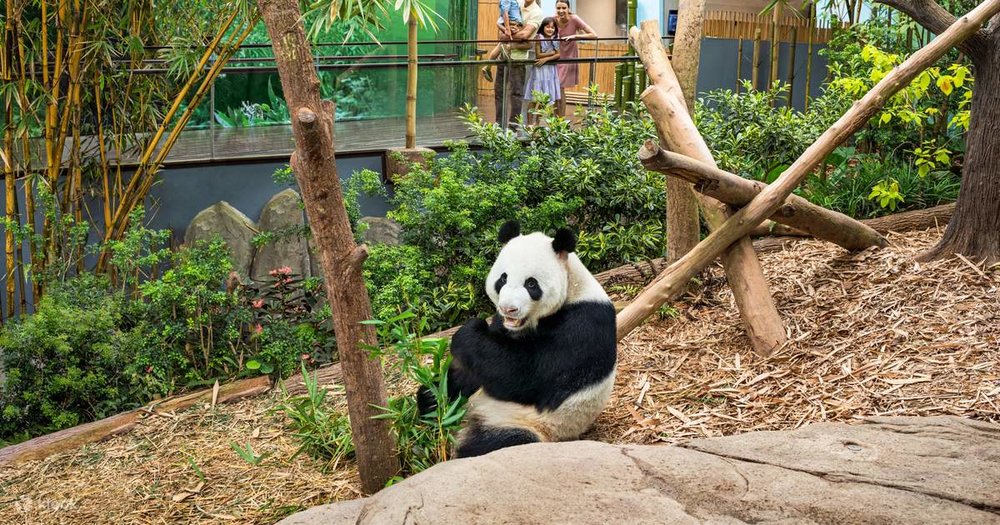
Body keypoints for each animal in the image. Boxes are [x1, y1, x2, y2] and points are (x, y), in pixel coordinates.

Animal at [420, 221, 617, 458]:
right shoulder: (503, 325)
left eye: (531, 284)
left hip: (529, 423)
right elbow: (479, 368)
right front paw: (434, 395)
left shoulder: (583, 324)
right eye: (503, 278)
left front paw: (468, 332)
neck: (573, 286)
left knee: (497, 442)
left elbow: (525, 376)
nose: (508, 309)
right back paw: (430, 401)